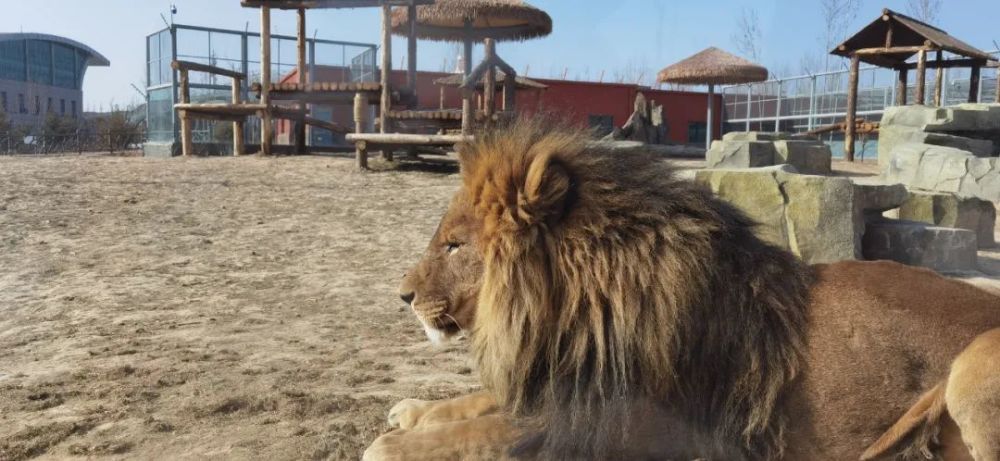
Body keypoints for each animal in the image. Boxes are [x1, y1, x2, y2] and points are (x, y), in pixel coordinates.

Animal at [368, 119, 1000, 460]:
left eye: (454, 246)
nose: (402, 295)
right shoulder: (562, 384)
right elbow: (474, 403)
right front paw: (412, 411)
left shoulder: (608, 425)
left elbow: (481, 431)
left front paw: (388, 445)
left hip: (974, 364)